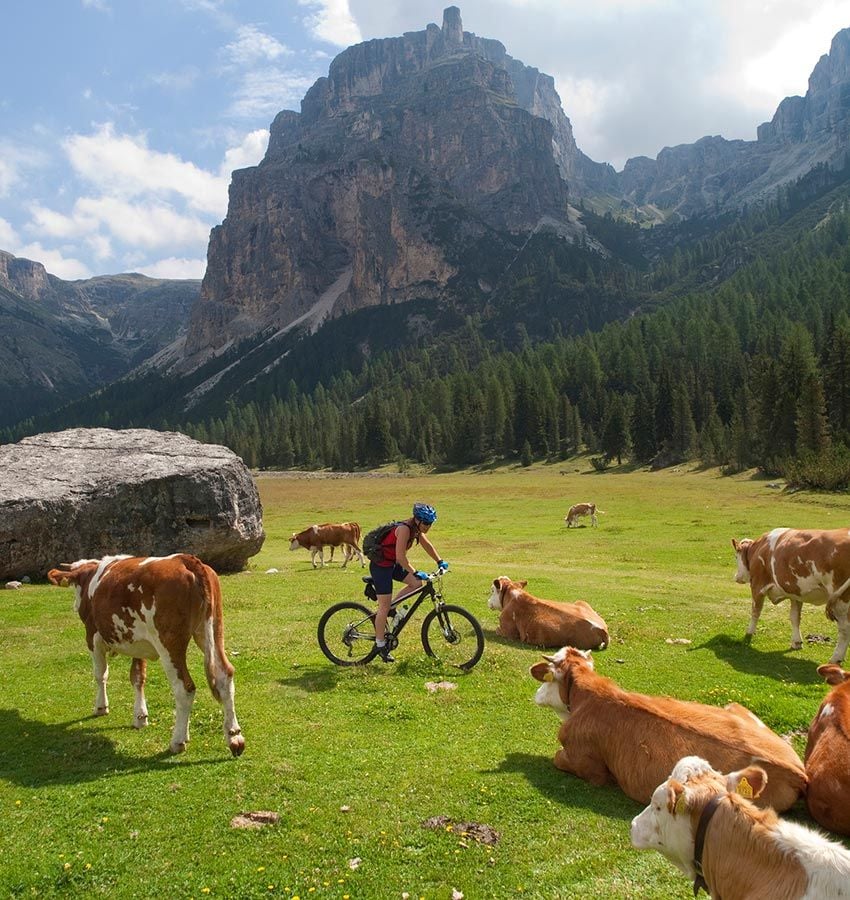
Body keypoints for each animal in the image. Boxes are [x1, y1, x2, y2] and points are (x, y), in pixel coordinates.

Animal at [49, 552, 243, 756]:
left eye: (74, 586)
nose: (74, 605)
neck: (91, 576)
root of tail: (184, 559)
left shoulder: (92, 637)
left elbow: (100, 674)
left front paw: (101, 706)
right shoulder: (138, 644)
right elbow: (137, 677)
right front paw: (140, 717)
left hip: (169, 644)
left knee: (184, 688)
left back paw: (178, 741)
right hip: (212, 630)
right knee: (224, 677)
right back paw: (234, 737)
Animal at [528, 648, 800, 808]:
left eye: (548, 678)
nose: (536, 695)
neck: (588, 695)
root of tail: (799, 772)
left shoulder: (591, 768)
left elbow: (558, 758)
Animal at [728, 528, 848, 660]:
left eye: (735, 556)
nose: (736, 577)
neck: (758, 549)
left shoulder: (757, 586)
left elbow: (755, 611)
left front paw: (749, 632)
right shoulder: (796, 593)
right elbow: (795, 617)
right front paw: (796, 642)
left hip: (842, 600)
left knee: (844, 630)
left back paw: (835, 658)